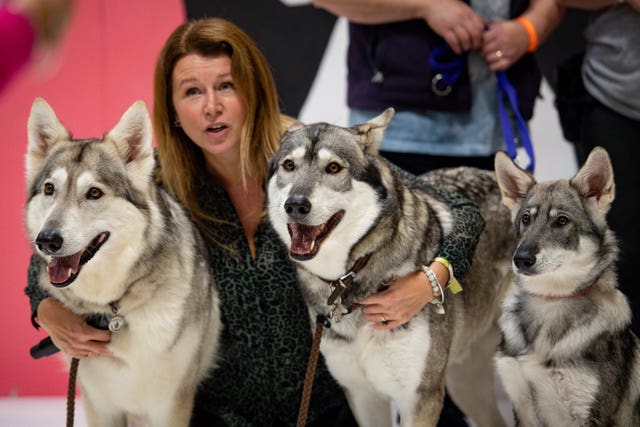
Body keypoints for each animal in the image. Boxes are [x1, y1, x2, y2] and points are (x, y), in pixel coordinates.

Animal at [25, 98, 221, 426]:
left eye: (94, 193)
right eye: (50, 189)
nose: (47, 240)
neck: (114, 312)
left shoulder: (170, 407)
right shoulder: (100, 406)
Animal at [268, 110, 512, 427]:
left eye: (333, 167)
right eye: (289, 165)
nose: (296, 205)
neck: (350, 275)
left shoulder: (420, 399)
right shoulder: (363, 396)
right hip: (464, 382)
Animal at [498, 148, 640, 427]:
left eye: (561, 221)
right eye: (526, 219)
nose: (521, 259)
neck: (549, 301)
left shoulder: (590, 415)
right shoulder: (522, 408)